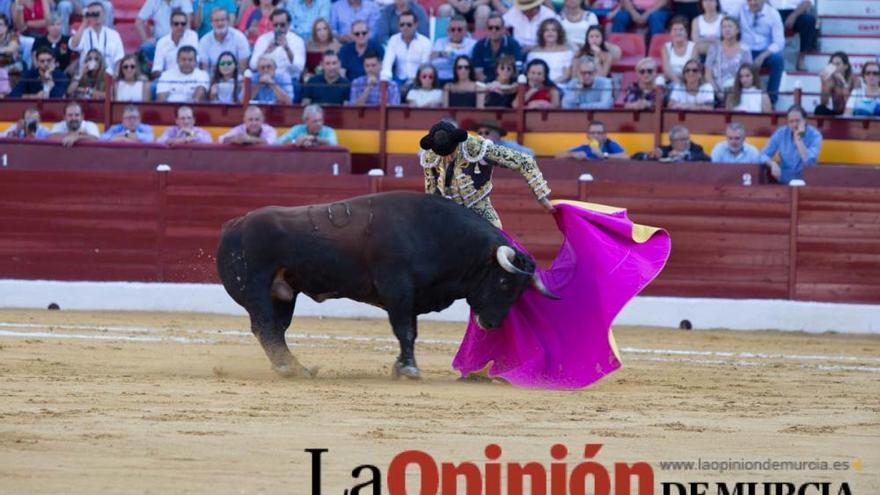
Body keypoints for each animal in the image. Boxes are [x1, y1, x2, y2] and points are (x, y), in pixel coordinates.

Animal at [216, 191, 552, 380]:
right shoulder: (397, 290)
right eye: (504, 282)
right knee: (264, 327)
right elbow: (405, 330)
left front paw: (401, 365)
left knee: (276, 330)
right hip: (257, 290)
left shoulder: (411, 297)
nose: (492, 323)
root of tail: (234, 225)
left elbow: (410, 331)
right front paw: (409, 369)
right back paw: (288, 369)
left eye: (519, 291)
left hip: (284, 295)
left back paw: (297, 368)